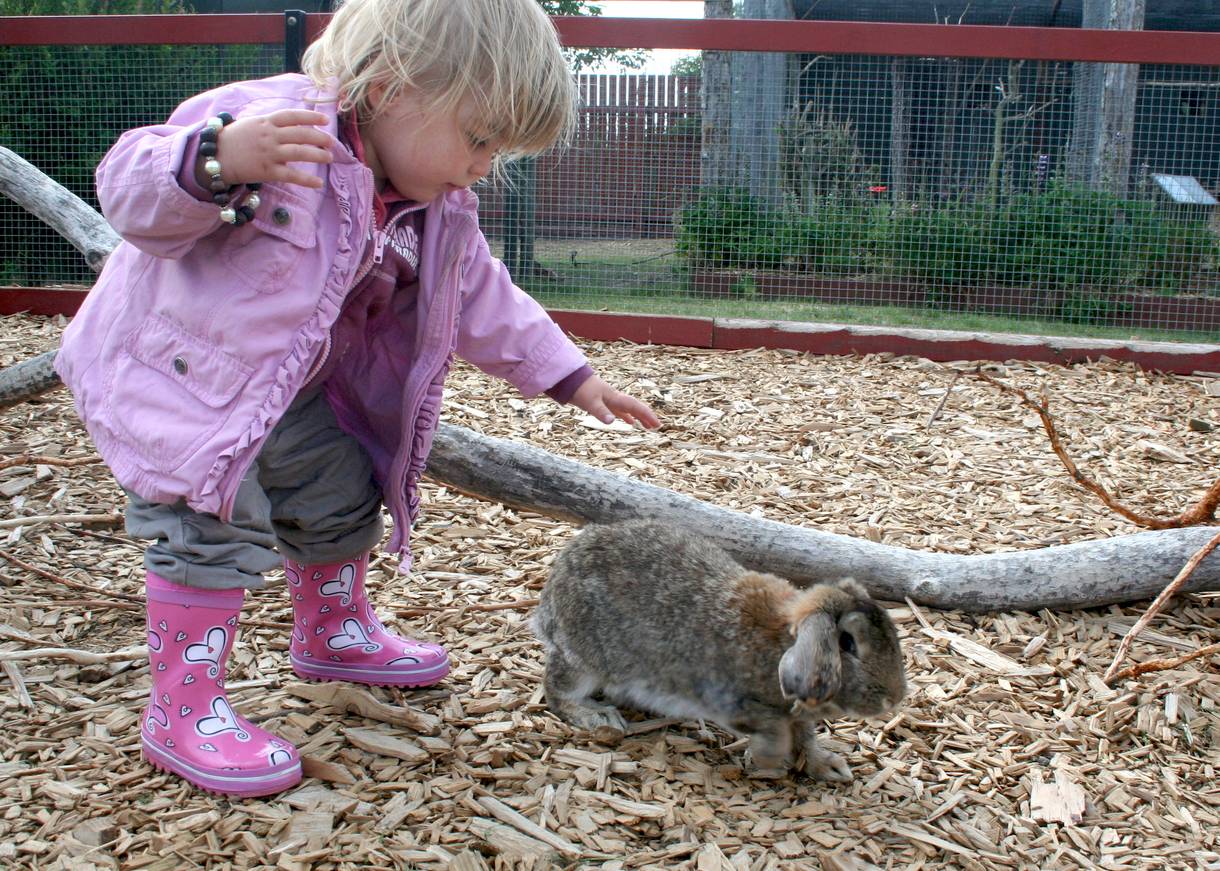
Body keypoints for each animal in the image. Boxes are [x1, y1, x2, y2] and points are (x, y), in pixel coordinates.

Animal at [532, 519, 907, 781]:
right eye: (847, 643)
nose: (895, 698)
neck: (782, 644)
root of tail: (550, 600)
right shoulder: (732, 701)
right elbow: (774, 729)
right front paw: (770, 759)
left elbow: (805, 738)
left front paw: (828, 766)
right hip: (584, 659)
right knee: (557, 689)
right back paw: (597, 716)